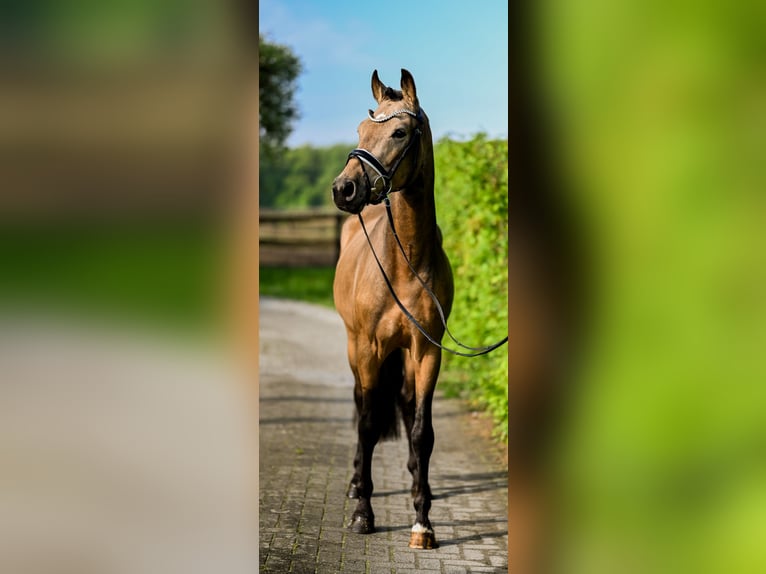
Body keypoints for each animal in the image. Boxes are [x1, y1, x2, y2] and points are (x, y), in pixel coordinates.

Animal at [332, 70, 456, 552]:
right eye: (360, 130)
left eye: (399, 132)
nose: (343, 189)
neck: (405, 265)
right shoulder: (369, 348)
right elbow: (367, 424)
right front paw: (363, 514)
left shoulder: (427, 351)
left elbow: (422, 430)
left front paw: (423, 522)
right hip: (355, 349)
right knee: (359, 402)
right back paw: (354, 484)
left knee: (403, 404)